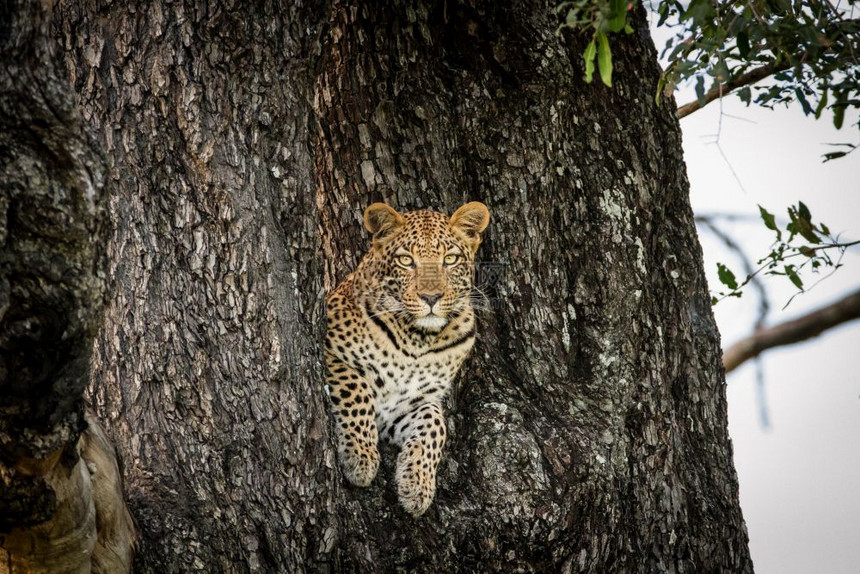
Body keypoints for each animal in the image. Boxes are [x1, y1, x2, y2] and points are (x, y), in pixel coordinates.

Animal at [324, 201, 488, 516]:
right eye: (405, 260)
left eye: (450, 259)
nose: (431, 297)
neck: (418, 341)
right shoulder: (331, 352)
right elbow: (357, 389)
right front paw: (360, 458)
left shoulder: (410, 402)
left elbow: (435, 424)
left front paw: (417, 485)